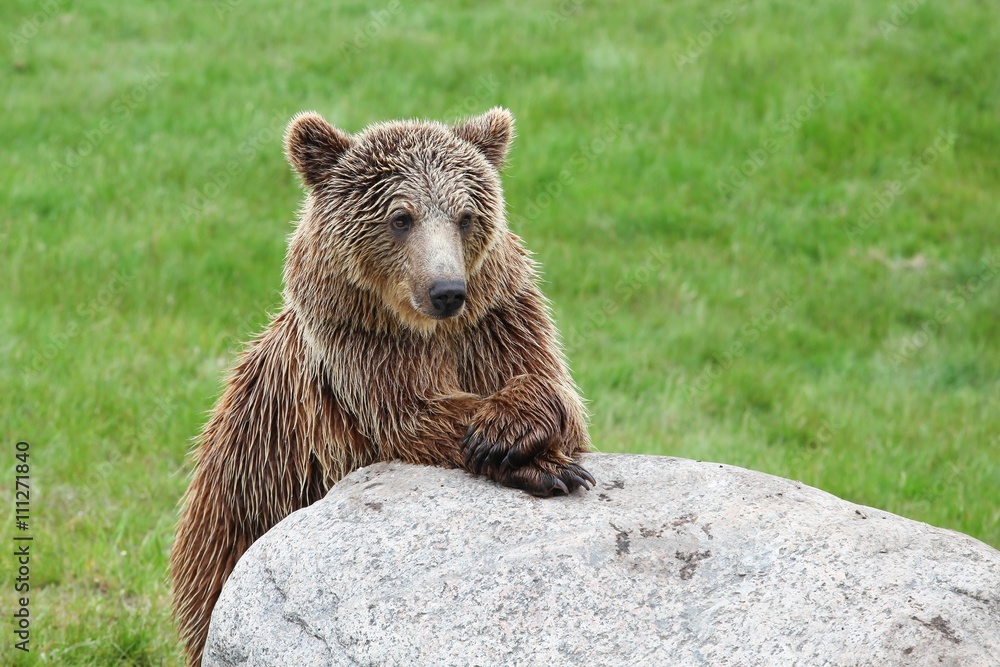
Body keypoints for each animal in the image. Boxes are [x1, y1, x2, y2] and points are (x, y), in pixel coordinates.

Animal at [170, 107, 594, 666]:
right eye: (400, 217)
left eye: (465, 215)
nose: (447, 291)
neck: (425, 332)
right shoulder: (360, 360)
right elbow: (409, 418)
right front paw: (538, 463)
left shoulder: (496, 325)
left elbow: (555, 390)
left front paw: (517, 434)